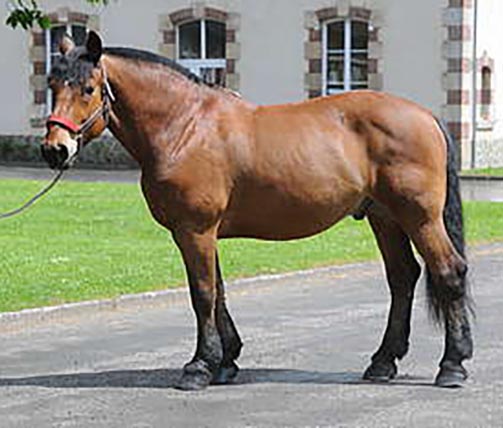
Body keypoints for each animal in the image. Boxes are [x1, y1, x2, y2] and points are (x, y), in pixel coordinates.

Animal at [41, 31, 473, 391]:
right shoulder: (204, 231)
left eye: (88, 88)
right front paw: (226, 361)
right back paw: (383, 362)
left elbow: (202, 293)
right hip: (385, 218)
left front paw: (199, 366)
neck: (185, 125)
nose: (55, 149)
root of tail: (426, 116)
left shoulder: (194, 229)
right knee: (402, 278)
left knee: (449, 273)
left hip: (420, 217)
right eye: (52, 85)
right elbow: (218, 292)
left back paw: (452, 365)